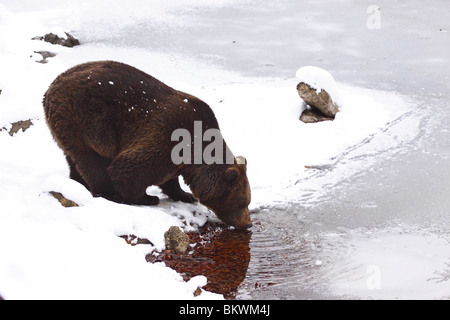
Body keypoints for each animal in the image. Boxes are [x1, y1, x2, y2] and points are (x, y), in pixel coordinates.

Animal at [43, 60, 253, 228]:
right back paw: (108, 193)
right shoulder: (170, 134)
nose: (248, 223)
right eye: (242, 202)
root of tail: (50, 88)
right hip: (86, 120)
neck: (198, 150)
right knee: (92, 162)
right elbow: (131, 169)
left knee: (73, 158)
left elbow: (170, 180)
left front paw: (186, 195)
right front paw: (147, 197)